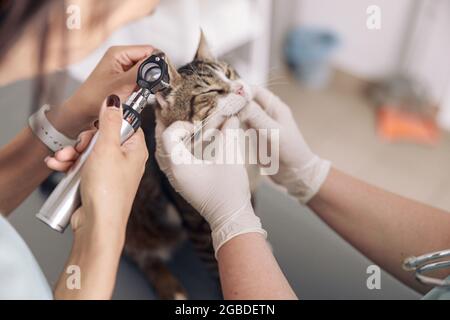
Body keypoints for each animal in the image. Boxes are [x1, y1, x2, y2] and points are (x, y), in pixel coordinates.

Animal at [125, 33, 255, 300]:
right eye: (213, 91)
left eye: (230, 72)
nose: (240, 88)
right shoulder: (197, 222)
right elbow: (215, 261)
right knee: (142, 255)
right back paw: (171, 287)